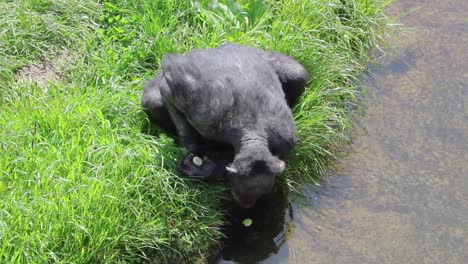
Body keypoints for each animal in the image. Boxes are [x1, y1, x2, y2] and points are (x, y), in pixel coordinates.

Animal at [140, 43, 308, 207]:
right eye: (240, 188)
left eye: (264, 190)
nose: (246, 203)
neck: (252, 132)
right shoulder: (204, 115)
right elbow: (169, 96)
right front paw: (191, 148)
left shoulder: (285, 141)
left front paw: (207, 168)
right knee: (153, 102)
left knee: (298, 75)